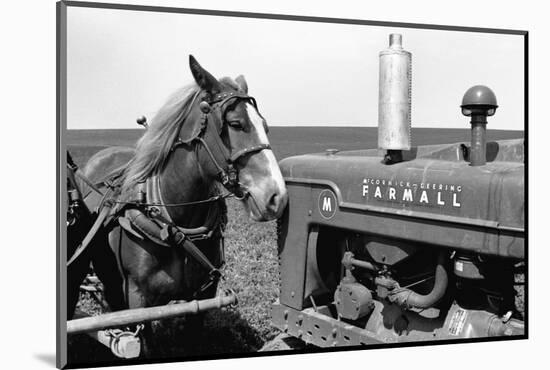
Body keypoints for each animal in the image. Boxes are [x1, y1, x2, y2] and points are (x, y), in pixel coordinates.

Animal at [73, 55, 288, 350]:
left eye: (265, 126)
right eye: (235, 124)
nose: (276, 196)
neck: (174, 224)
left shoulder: (202, 296)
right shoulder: (139, 302)